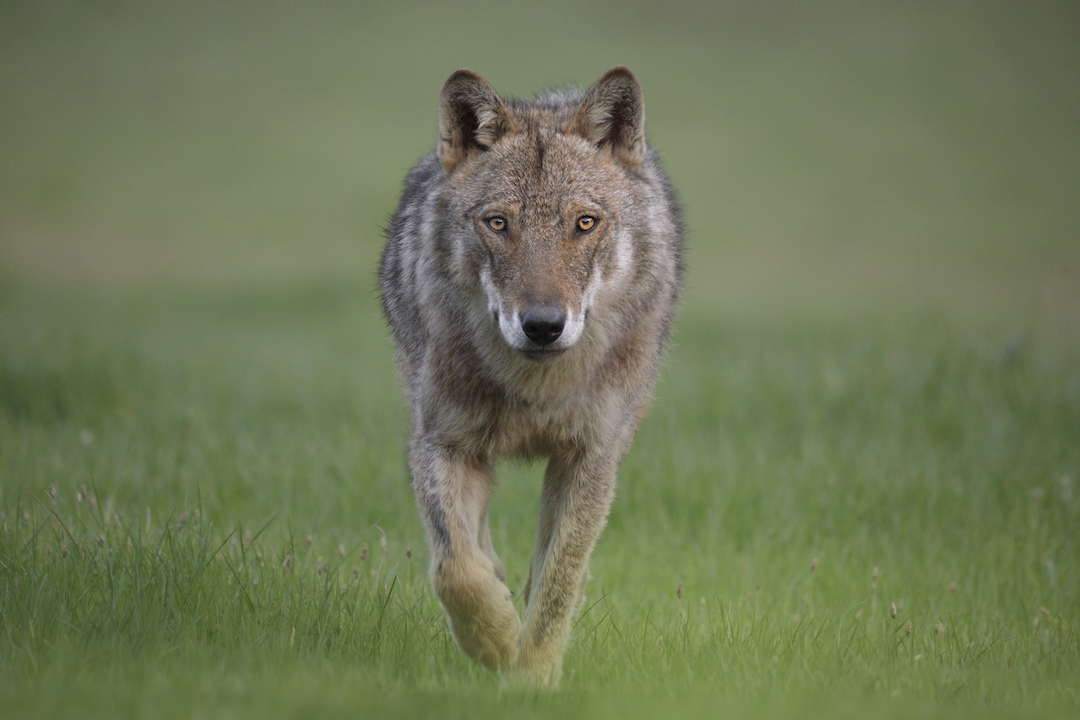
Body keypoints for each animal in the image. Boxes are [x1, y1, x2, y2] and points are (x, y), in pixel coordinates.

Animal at [382, 64, 682, 686]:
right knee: (475, 544)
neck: (534, 392)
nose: (543, 325)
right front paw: (495, 639)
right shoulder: (442, 442)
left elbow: (558, 581)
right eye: (498, 223)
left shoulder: (589, 458)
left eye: (584, 223)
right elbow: (453, 567)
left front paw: (533, 678)